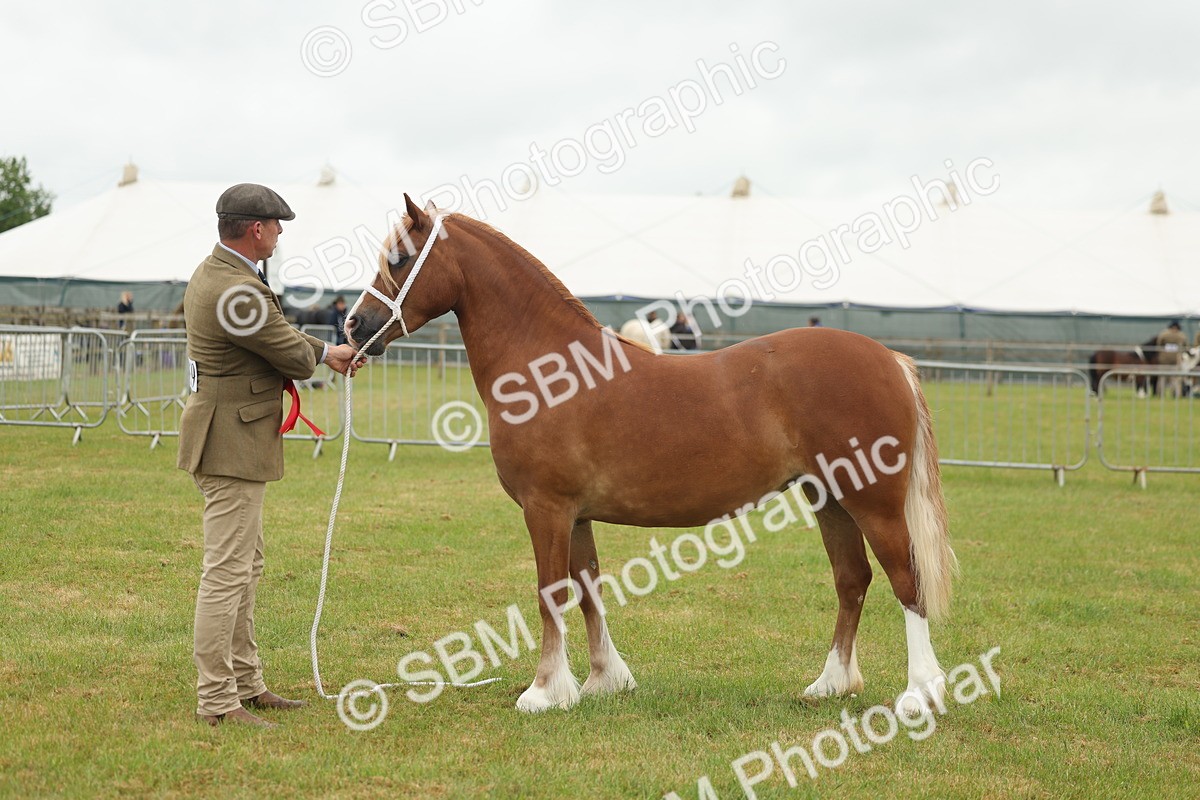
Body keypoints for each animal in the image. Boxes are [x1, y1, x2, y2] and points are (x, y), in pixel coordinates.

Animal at [345, 195, 957, 716]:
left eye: (399, 258)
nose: (354, 325)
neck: (549, 369)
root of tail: (889, 359)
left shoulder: (546, 508)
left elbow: (551, 593)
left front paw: (544, 692)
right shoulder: (576, 515)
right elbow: (588, 590)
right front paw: (602, 680)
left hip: (873, 502)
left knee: (906, 581)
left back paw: (920, 693)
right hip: (827, 497)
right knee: (852, 580)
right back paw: (829, 684)